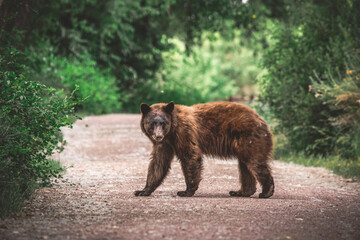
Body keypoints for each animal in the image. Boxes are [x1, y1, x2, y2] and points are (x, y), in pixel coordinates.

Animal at [134, 101, 272, 199]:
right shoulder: (165, 143)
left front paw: (186, 191)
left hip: (249, 138)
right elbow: (158, 163)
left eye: (163, 123)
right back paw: (241, 192)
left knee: (255, 162)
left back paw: (266, 192)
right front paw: (142, 190)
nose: (158, 136)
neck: (171, 132)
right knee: (245, 166)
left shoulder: (184, 132)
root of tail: (263, 121)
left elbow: (190, 155)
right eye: (152, 123)